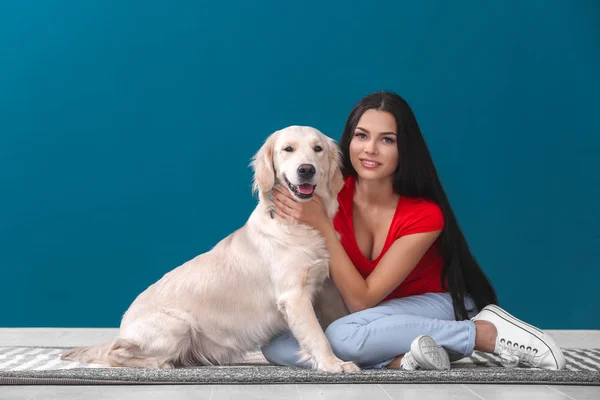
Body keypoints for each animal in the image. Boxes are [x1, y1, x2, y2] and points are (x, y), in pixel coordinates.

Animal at [61, 125, 358, 372]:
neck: (297, 224)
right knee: (114, 352)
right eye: (288, 149)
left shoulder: (324, 288)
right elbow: (317, 336)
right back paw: (159, 363)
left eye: (318, 149)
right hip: (179, 324)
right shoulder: (294, 296)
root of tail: (124, 324)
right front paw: (334, 364)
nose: (306, 169)